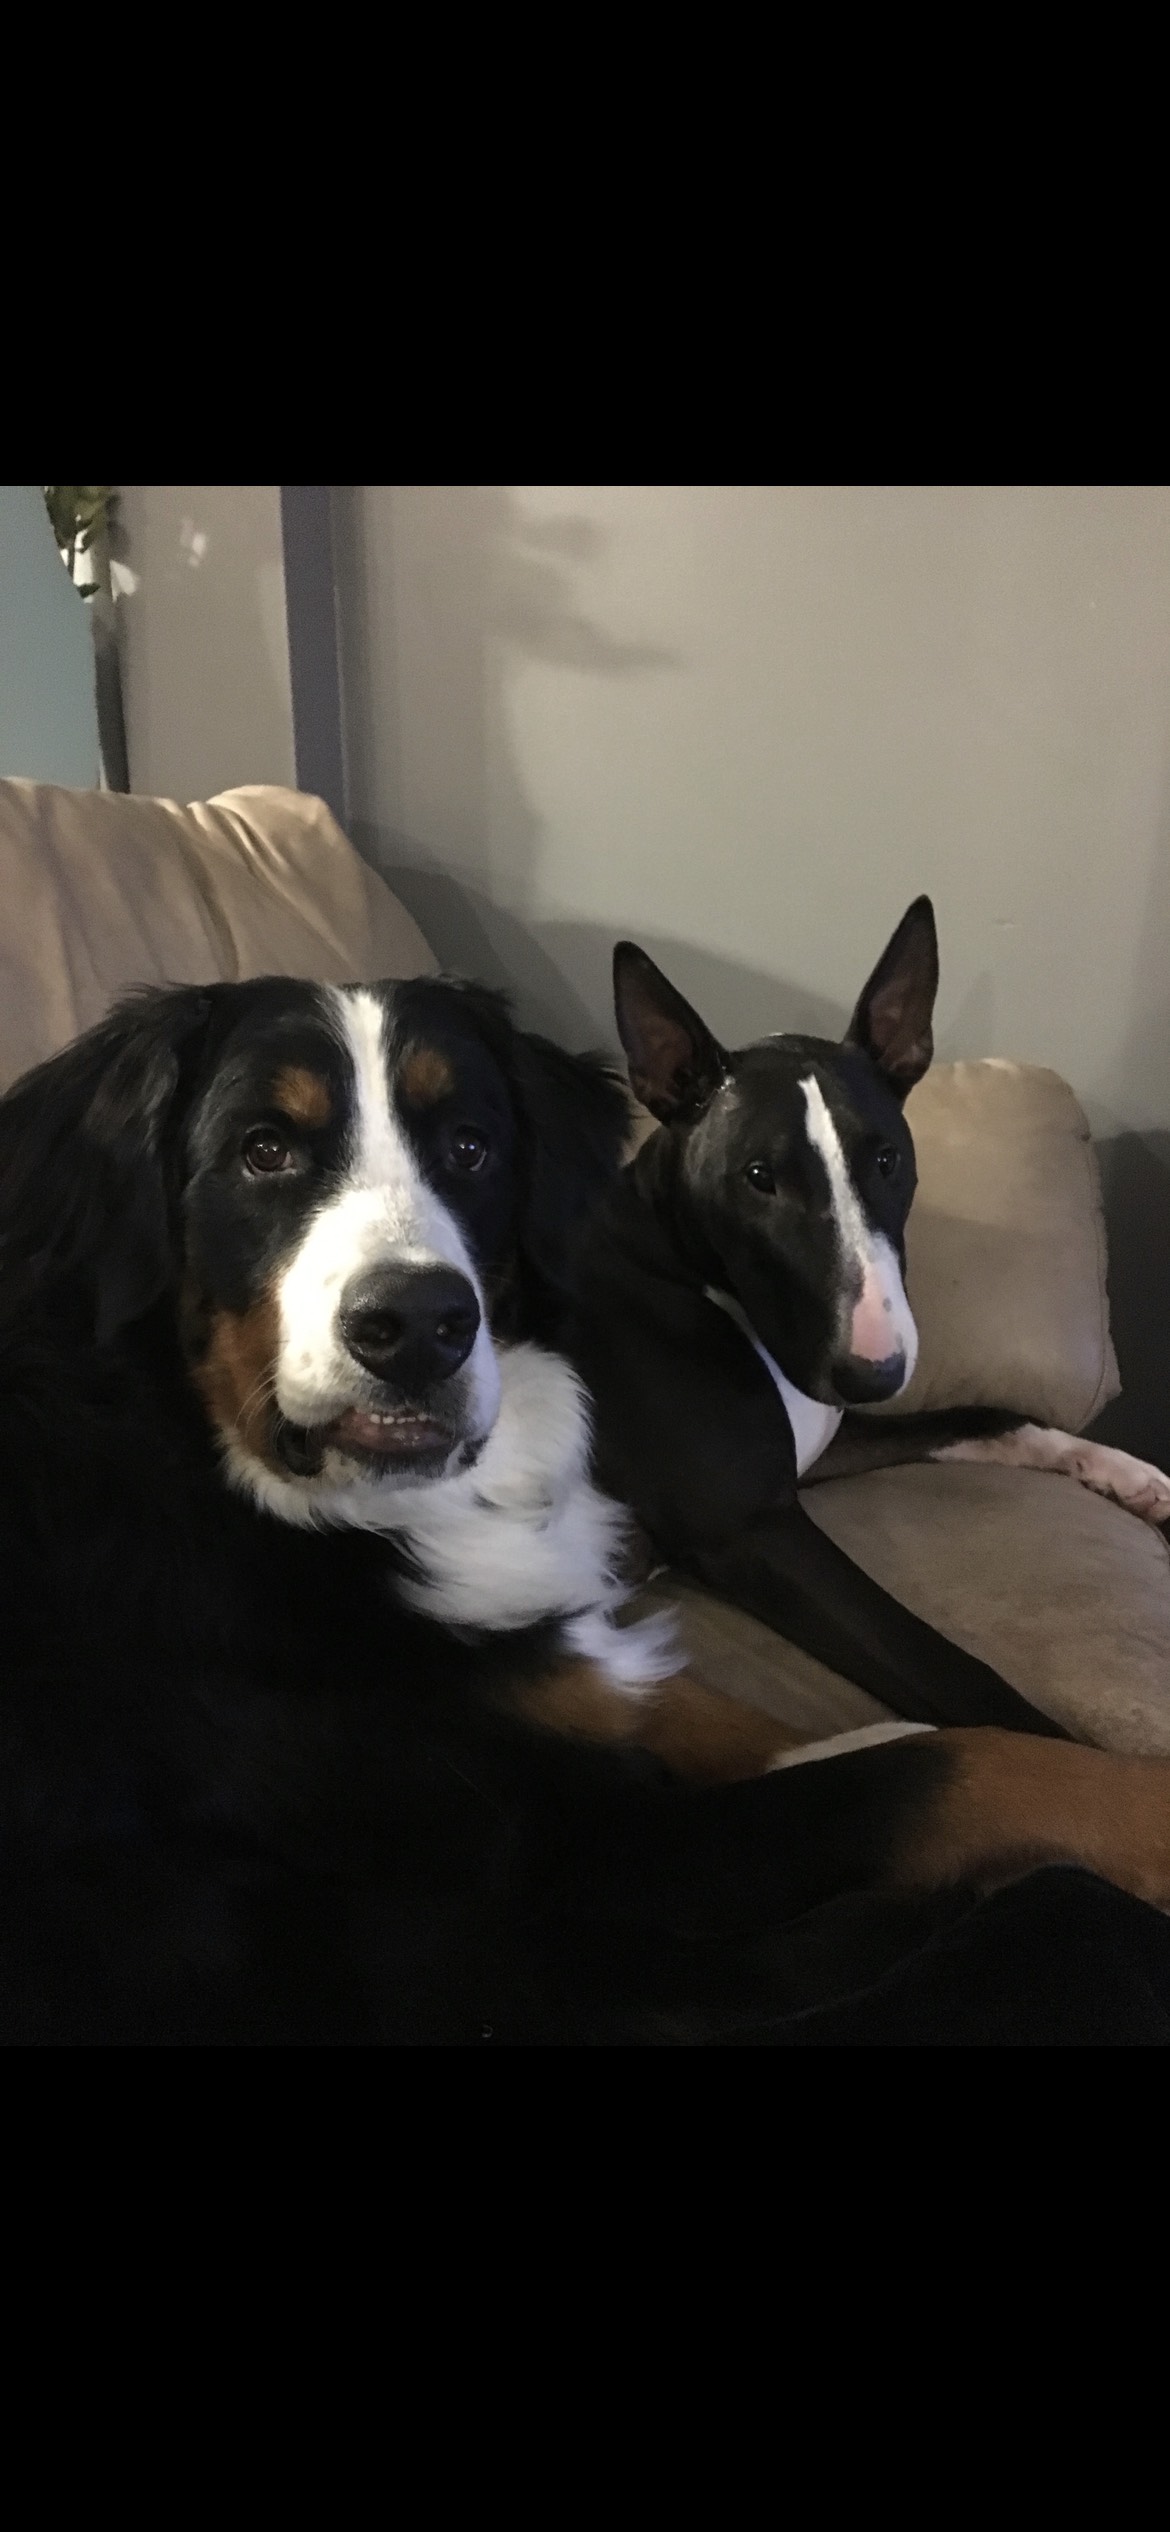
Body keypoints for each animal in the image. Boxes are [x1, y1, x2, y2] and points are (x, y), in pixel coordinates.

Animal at [569, 898, 1170, 1744]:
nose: (873, 1372)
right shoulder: (751, 1529)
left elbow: (980, 1415)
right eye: (759, 1178)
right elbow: (952, 1672)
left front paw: (1123, 1472)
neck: (689, 1272)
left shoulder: (822, 1443)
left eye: (887, 1160)